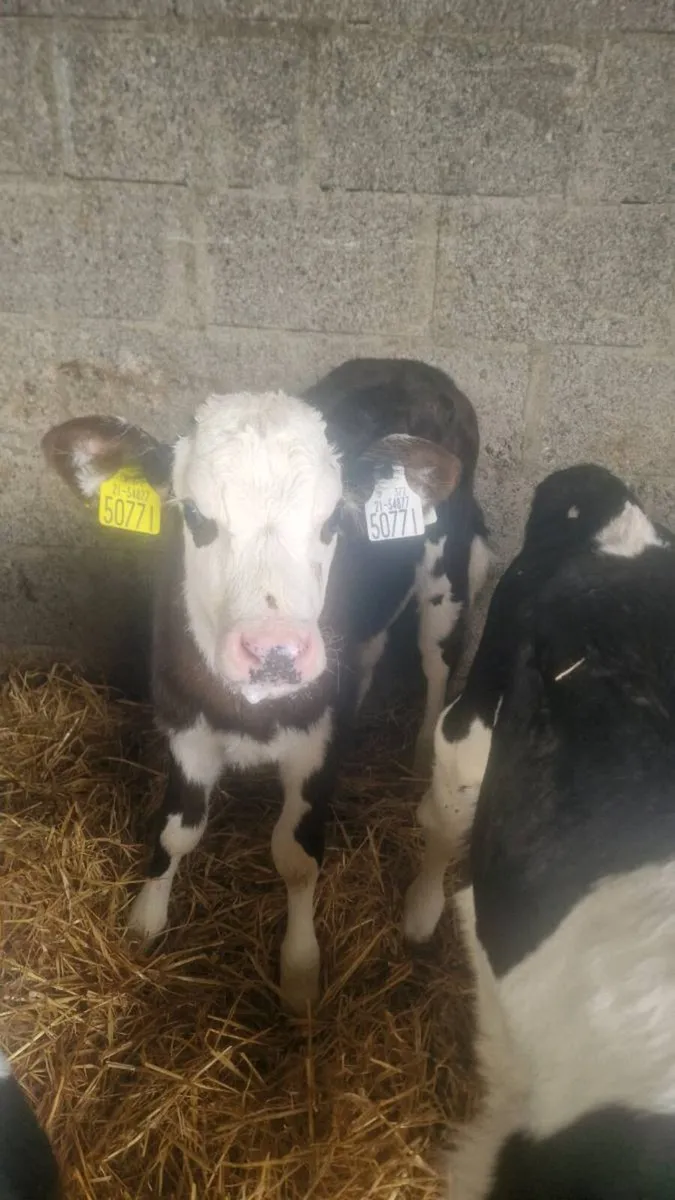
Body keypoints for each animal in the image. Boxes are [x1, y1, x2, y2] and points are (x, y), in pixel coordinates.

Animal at [43, 357, 489, 1012]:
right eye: (195, 516)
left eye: (332, 521)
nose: (275, 650)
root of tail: (408, 367)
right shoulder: (184, 722)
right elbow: (177, 831)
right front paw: (144, 924)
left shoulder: (316, 743)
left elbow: (296, 856)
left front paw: (300, 972)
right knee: (372, 645)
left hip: (446, 574)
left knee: (436, 662)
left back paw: (419, 748)